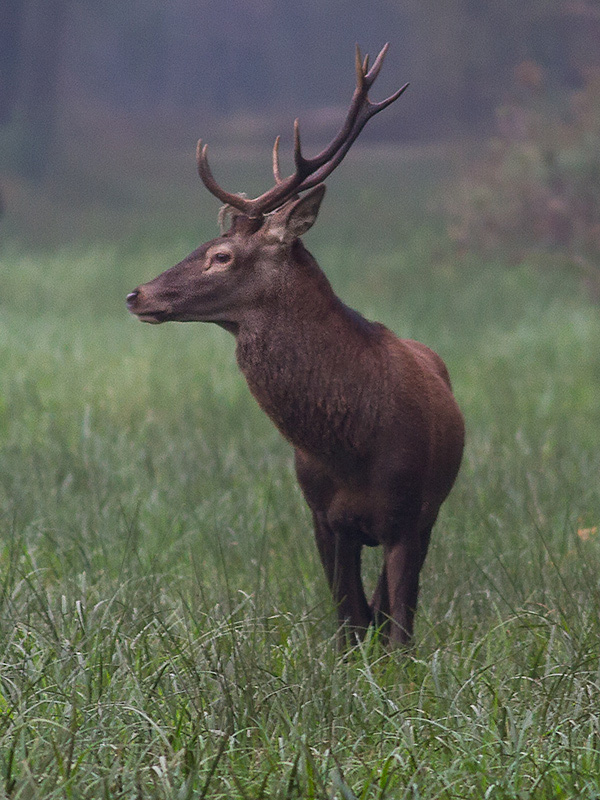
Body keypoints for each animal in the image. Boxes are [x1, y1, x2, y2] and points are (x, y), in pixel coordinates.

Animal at [125, 43, 464, 648]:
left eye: (222, 255)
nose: (136, 293)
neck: (353, 447)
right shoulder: (323, 518)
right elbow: (350, 623)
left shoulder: (407, 516)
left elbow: (398, 629)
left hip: (431, 512)